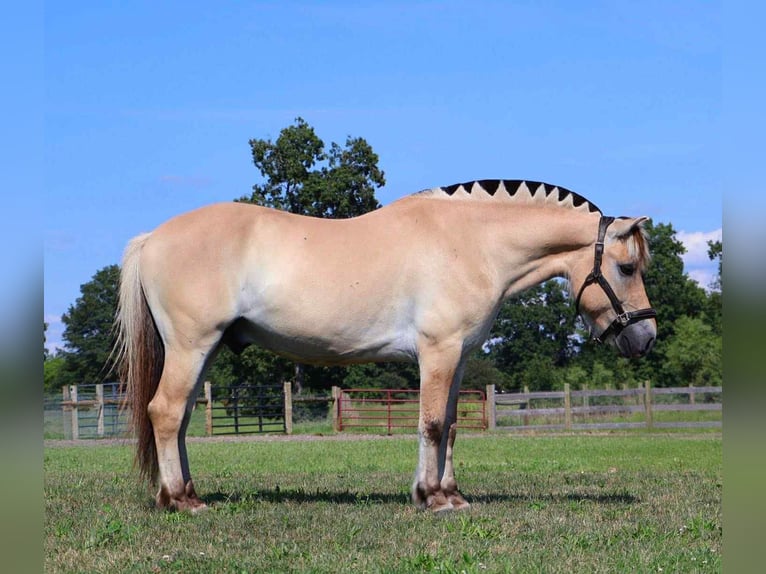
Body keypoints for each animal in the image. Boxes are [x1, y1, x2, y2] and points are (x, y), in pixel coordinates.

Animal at [115, 179, 656, 513]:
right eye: (627, 267)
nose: (645, 337)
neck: (473, 243)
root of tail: (152, 237)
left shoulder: (458, 357)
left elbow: (450, 425)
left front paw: (448, 493)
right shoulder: (438, 351)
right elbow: (432, 423)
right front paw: (434, 498)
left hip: (202, 351)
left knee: (181, 417)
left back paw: (182, 492)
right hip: (191, 346)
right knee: (166, 412)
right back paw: (183, 501)